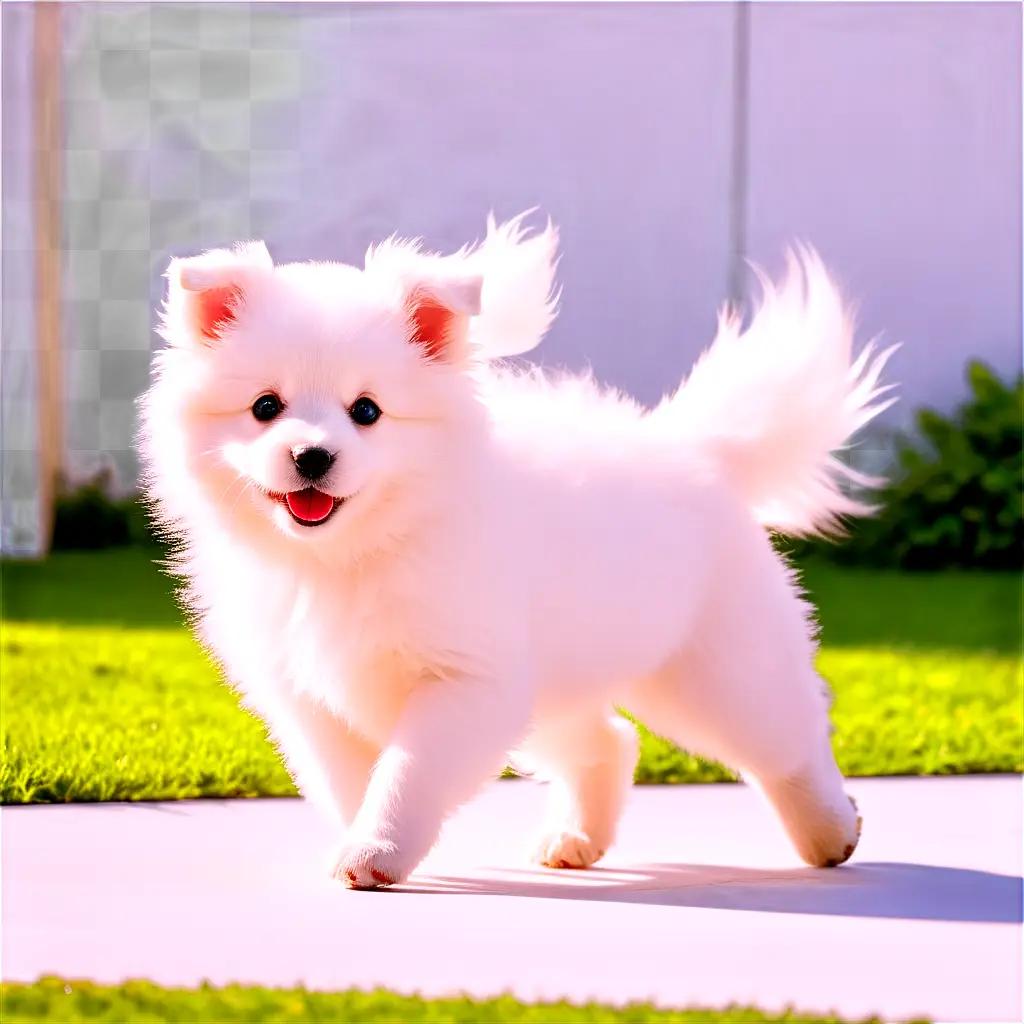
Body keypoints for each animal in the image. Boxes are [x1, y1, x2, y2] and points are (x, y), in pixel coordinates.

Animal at [140, 214, 892, 888]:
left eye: (367, 411)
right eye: (266, 407)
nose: (312, 456)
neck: (356, 552)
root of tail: (701, 450)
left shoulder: (465, 679)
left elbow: (406, 771)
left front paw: (376, 851)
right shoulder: (310, 699)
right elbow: (349, 779)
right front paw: (362, 842)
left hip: (713, 669)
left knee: (788, 736)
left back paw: (831, 831)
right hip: (558, 681)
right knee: (611, 742)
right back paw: (577, 839)